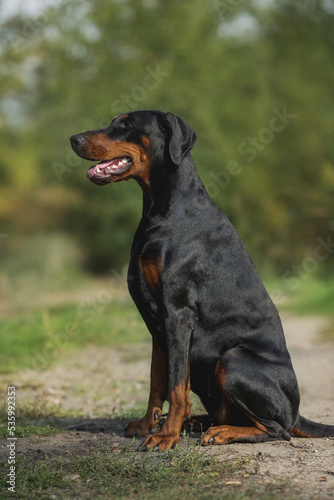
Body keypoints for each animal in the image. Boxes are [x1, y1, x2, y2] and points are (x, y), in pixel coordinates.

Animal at [70, 111, 334, 452]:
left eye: (127, 124)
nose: (74, 139)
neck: (164, 209)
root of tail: (298, 412)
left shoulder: (178, 314)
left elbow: (176, 387)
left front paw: (166, 435)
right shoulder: (158, 325)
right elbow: (158, 380)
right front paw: (147, 425)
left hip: (233, 361)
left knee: (278, 430)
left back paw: (221, 432)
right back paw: (199, 423)